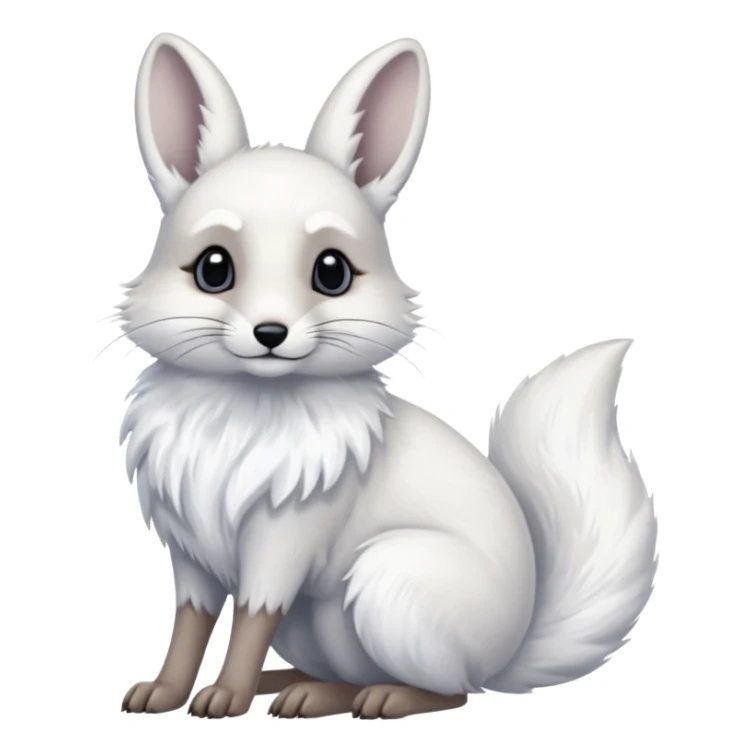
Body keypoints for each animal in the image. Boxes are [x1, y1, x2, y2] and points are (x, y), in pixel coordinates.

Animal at [117, 33, 658, 720]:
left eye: (332, 273)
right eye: (214, 269)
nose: (271, 333)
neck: (247, 404)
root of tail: (508, 651)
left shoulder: (282, 542)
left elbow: (252, 617)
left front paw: (225, 696)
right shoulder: (189, 551)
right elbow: (189, 622)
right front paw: (163, 692)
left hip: (384, 582)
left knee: (453, 691)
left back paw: (382, 699)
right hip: (320, 625)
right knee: (349, 674)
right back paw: (300, 690)